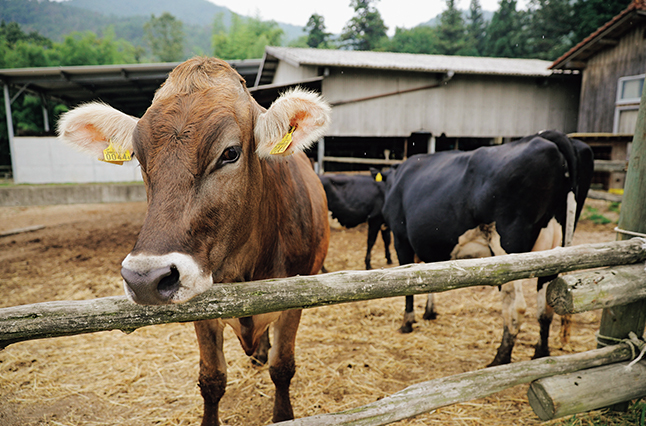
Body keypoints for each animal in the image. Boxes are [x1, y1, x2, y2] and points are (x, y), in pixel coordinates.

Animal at [57, 57, 332, 426]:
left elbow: (282, 368)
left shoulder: (296, 298)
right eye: (140, 158)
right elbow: (212, 378)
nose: (145, 279)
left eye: (230, 153)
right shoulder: (199, 306)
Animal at [382, 130, 596, 366]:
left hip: (508, 246)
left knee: (516, 306)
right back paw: (540, 354)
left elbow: (409, 287)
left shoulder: (400, 238)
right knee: (546, 306)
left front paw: (407, 322)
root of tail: (547, 136)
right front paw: (429, 313)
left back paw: (500, 357)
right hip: (553, 246)